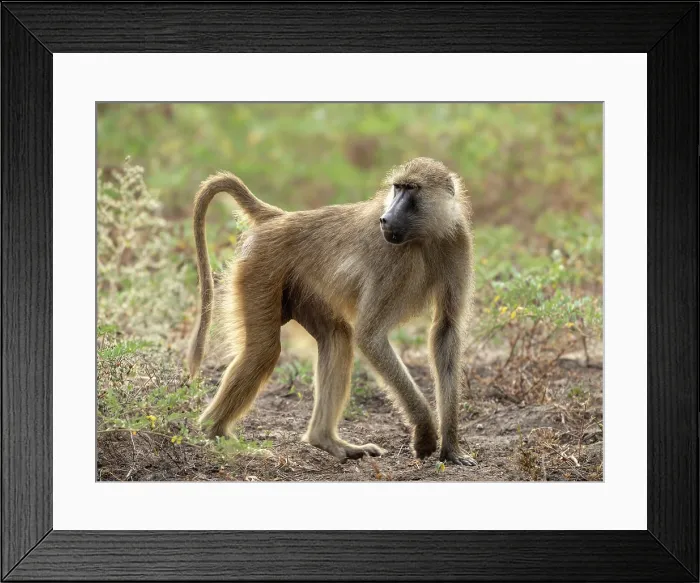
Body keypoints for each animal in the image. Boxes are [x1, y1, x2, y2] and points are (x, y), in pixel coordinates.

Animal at [187, 157, 476, 466]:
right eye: (397, 188)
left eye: (411, 189)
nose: (385, 219)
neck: (426, 235)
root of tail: (278, 217)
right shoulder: (393, 260)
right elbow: (370, 336)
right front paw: (424, 432)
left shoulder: (457, 241)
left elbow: (446, 329)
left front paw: (451, 447)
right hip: (259, 269)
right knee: (263, 351)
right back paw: (217, 434)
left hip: (298, 285)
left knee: (336, 337)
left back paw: (327, 440)